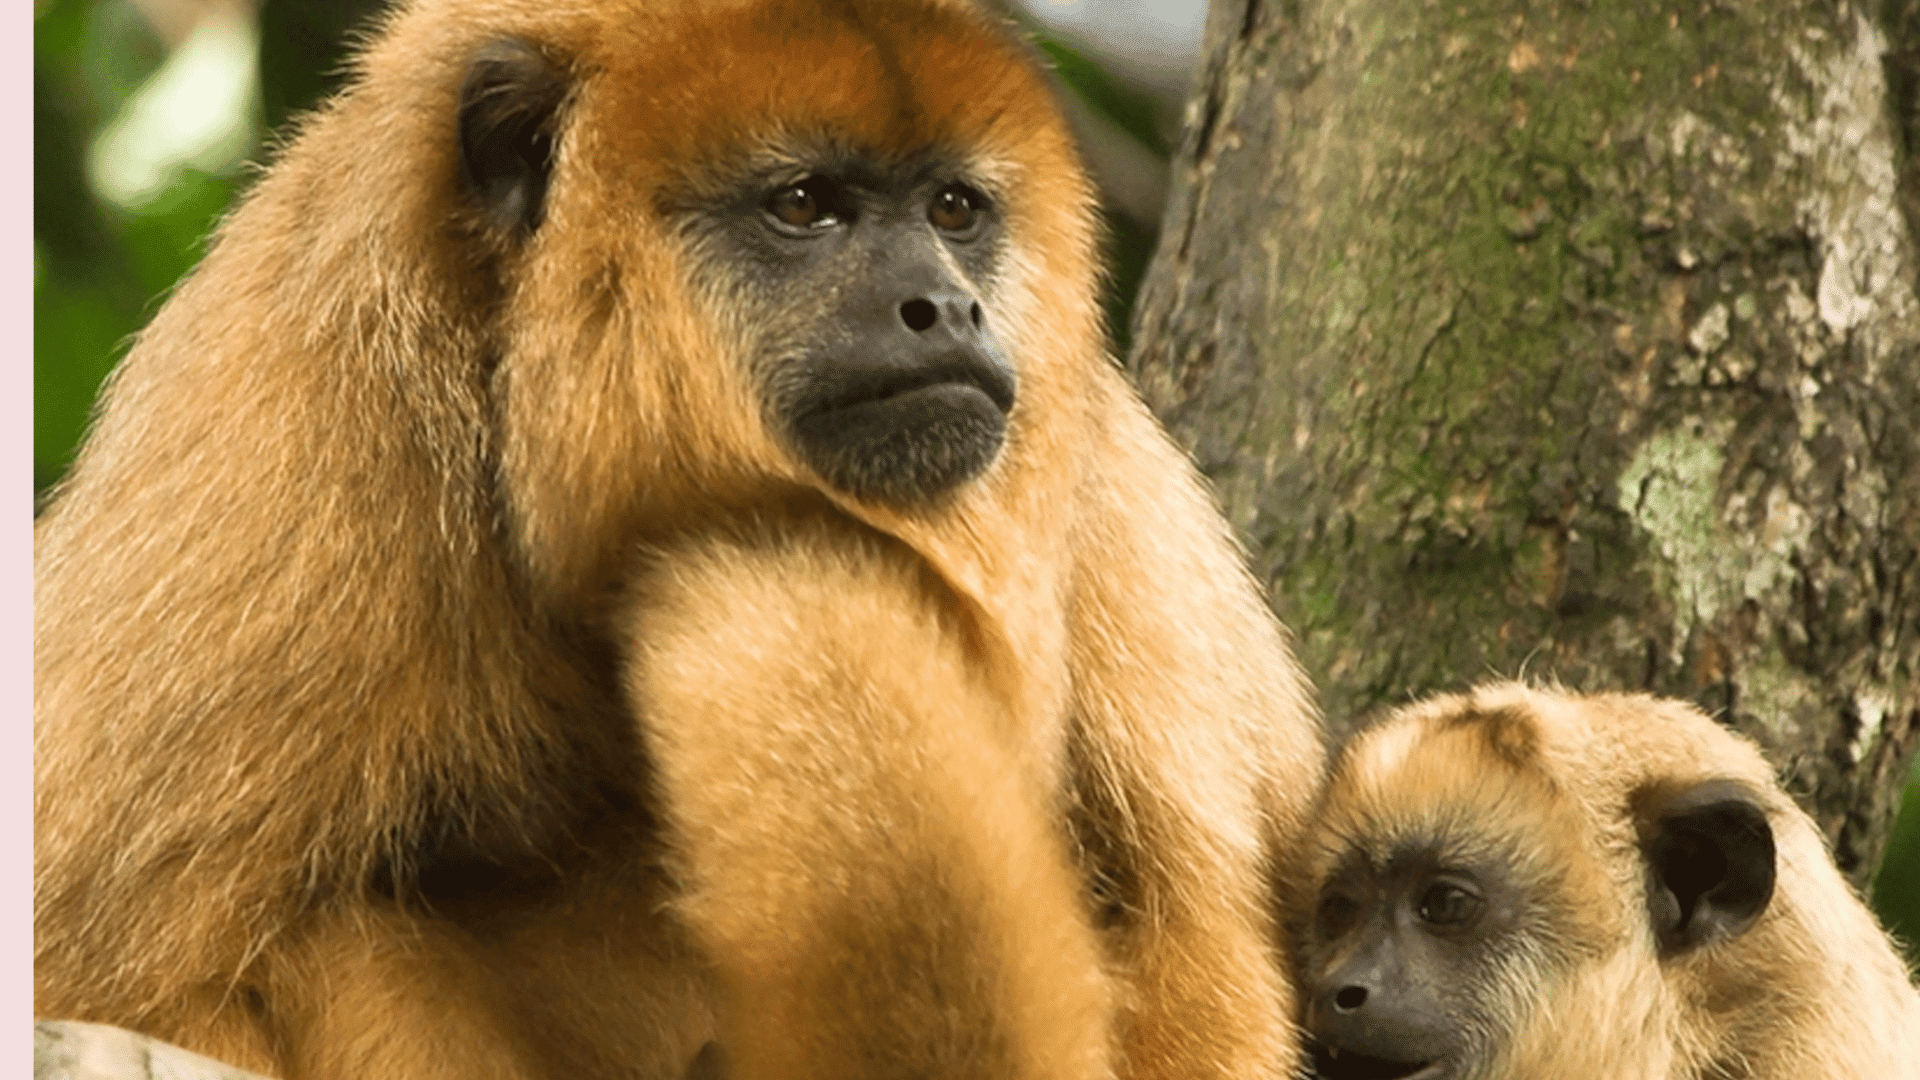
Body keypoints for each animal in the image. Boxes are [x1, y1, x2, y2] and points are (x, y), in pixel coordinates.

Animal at [32, 1, 1324, 1078]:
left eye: (955, 210)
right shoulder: (300, 446)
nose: (948, 306)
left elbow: (1189, 928)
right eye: (803, 206)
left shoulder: (1108, 508)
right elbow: (110, 971)